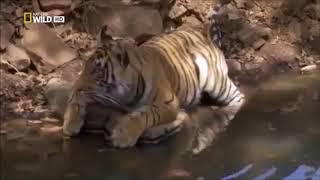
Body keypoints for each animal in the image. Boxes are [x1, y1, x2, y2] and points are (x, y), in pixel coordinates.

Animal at [62, 8, 245, 148]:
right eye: (85, 67)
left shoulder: (168, 103)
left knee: (239, 97)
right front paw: (70, 123)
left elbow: (144, 115)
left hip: (217, 84)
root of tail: (205, 36)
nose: (77, 85)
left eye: (98, 71)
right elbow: (75, 99)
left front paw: (123, 136)